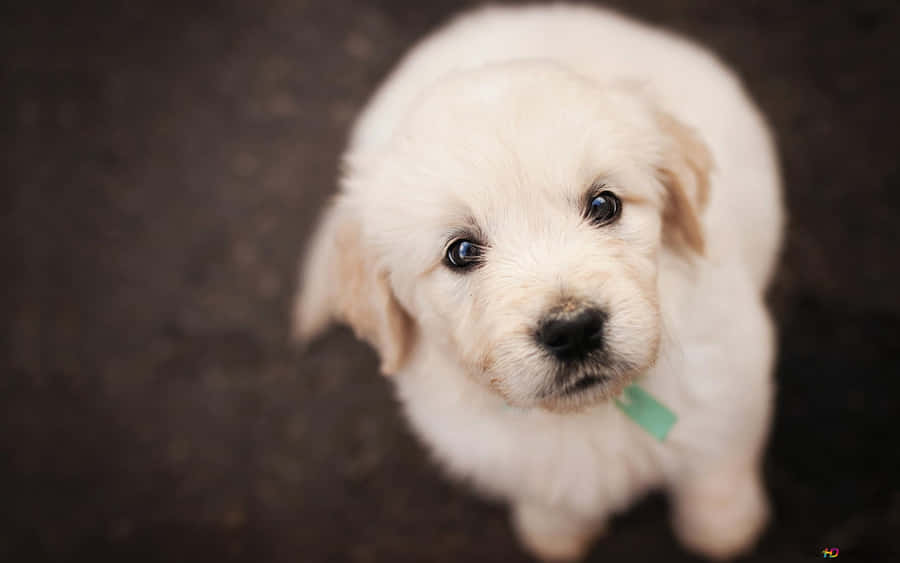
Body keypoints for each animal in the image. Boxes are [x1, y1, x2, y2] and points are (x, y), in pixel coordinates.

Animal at [294, 3, 780, 560]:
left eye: (604, 204)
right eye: (461, 252)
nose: (573, 329)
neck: (591, 412)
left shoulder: (731, 389)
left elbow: (715, 474)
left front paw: (725, 532)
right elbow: (550, 499)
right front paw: (554, 537)